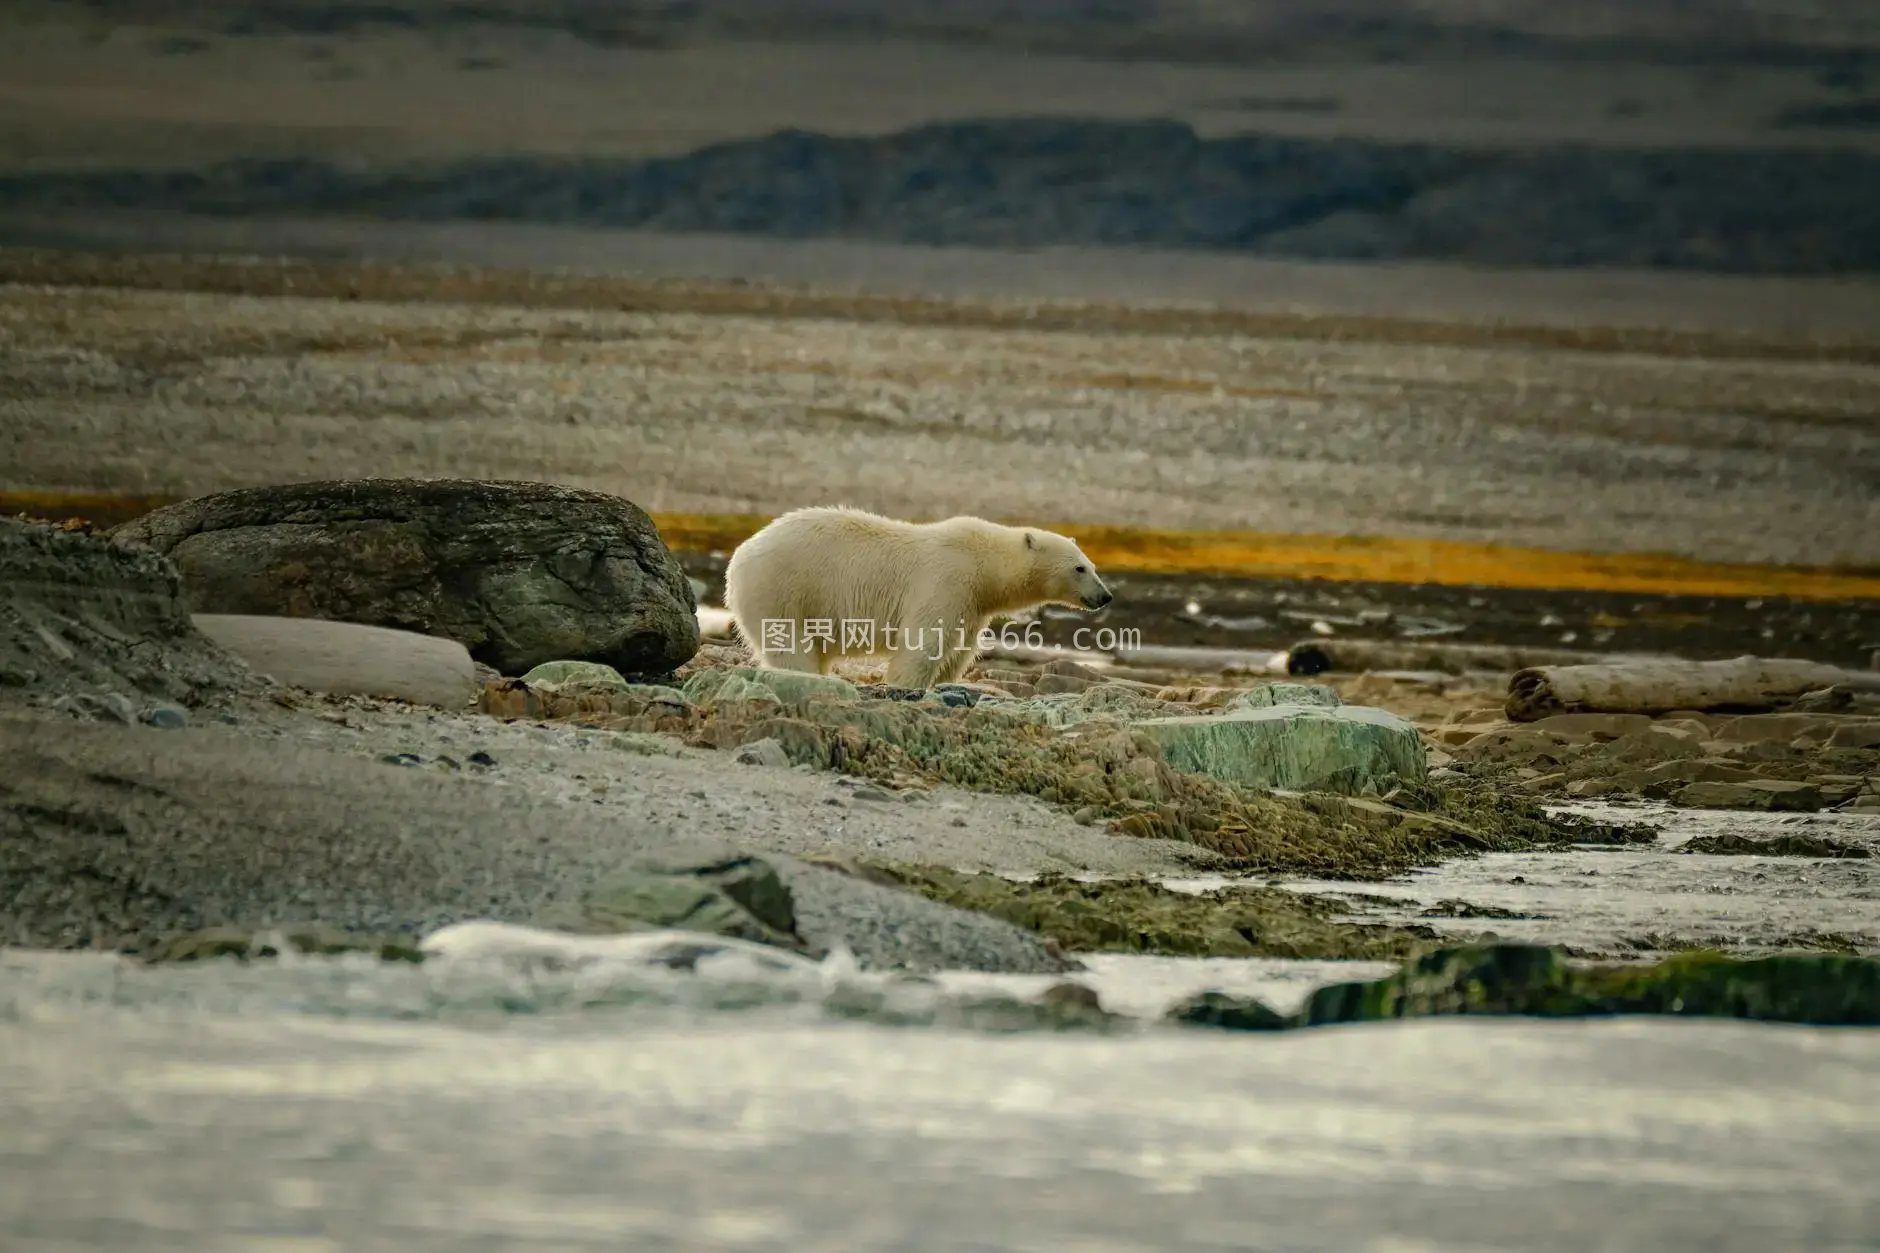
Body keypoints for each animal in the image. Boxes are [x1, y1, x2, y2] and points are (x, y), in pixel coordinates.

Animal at [721, 504, 1105, 688]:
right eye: (1080, 569)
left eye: (1091, 565)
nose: (1106, 597)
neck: (985, 564)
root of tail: (740, 555)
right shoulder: (946, 580)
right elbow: (922, 642)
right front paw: (906, 685)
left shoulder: (973, 605)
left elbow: (958, 650)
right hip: (783, 589)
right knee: (789, 645)